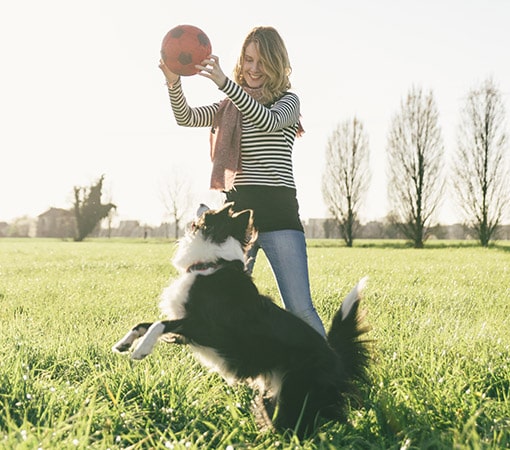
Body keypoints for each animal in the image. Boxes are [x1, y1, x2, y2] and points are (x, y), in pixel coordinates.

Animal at [113, 203, 370, 436]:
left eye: (211, 212)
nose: (202, 203)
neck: (212, 264)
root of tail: (336, 357)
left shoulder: (207, 329)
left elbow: (159, 324)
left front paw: (142, 349)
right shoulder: (184, 322)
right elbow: (144, 324)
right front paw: (124, 343)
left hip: (295, 392)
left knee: (295, 428)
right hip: (276, 393)